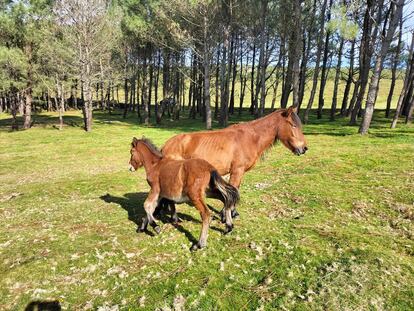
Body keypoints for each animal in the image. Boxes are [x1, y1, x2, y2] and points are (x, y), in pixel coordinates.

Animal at [161, 106, 308, 221]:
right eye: (293, 125)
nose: (304, 148)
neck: (250, 138)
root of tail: (166, 146)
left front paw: (232, 213)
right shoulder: (237, 171)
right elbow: (234, 189)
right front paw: (226, 214)